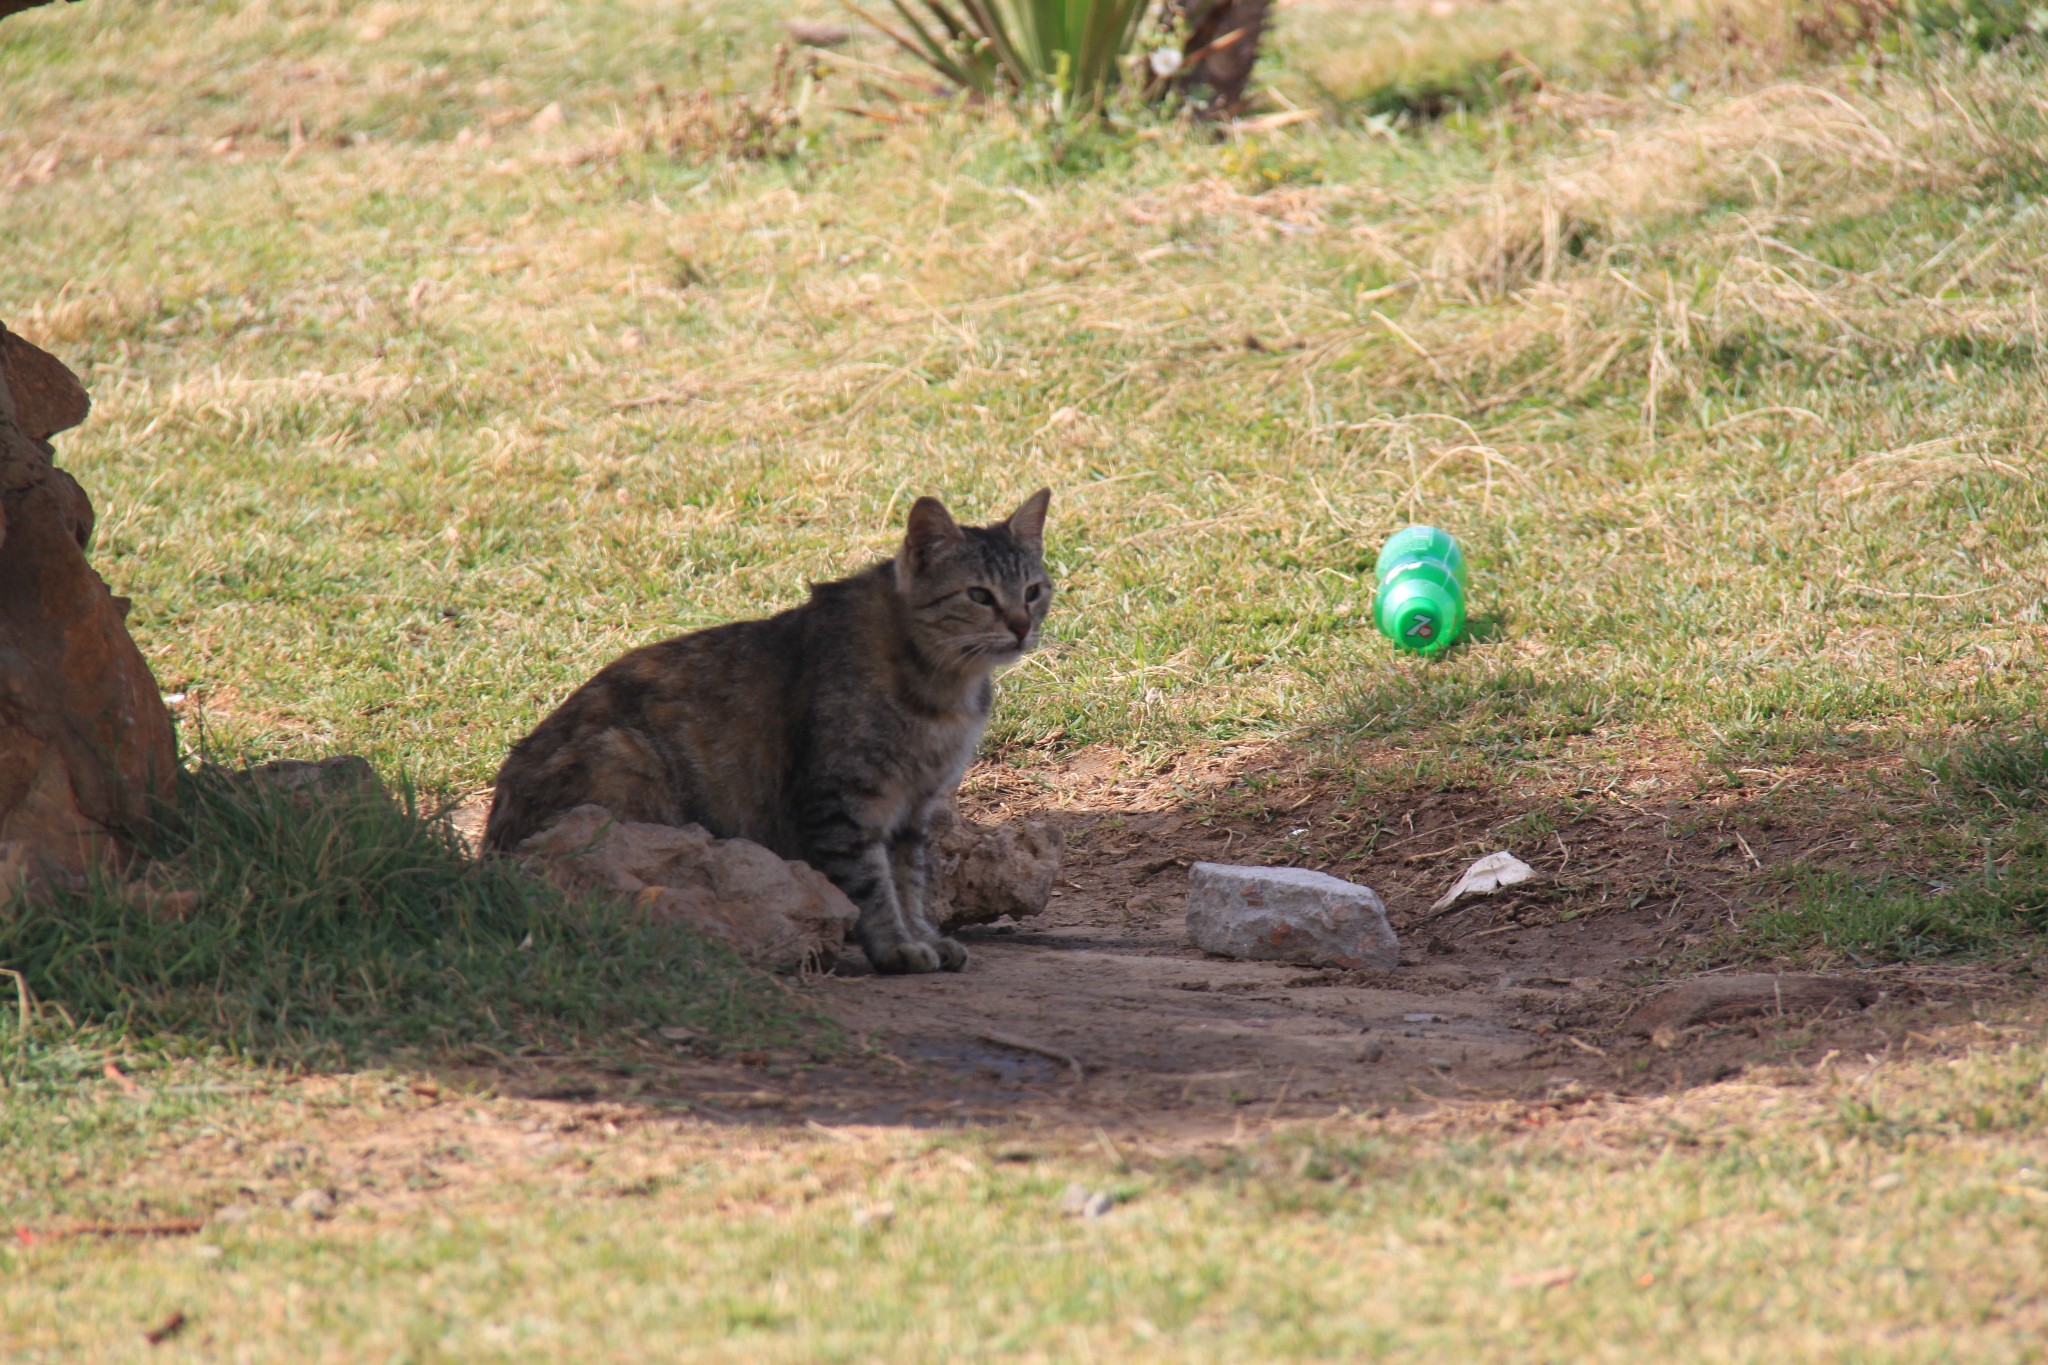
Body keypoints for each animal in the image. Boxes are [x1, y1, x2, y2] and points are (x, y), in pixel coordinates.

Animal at [481, 491, 1056, 970]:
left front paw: (923, 936)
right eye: (979, 595)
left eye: (1033, 590)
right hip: (625, 761)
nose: (1021, 626)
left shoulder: (914, 808)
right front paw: (896, 945)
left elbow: (909, 881)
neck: (944, 685)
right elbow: (872, 883)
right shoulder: (842, 800)